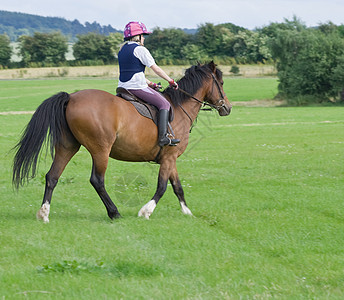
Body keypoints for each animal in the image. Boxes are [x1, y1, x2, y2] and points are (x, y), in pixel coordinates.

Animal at [11, 61, 231, 223]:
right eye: (221, 83)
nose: (227, 108)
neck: (179, 107)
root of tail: (71, 97)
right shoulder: (169, 157)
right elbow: (162, 186)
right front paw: (145, 212)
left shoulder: (171, 158)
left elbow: (177, 186)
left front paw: (187, 213)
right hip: (100, 150)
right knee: (97, 180)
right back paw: (114, 212)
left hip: (67, 146)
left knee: (52, 176)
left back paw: (44, 214)